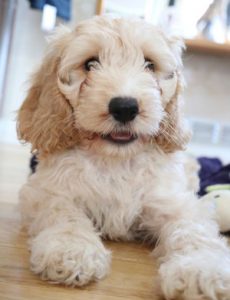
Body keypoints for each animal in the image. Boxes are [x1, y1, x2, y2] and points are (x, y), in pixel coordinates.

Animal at [17, 17, 230, 300]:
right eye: (90, 64)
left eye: (150, 64)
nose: (125, 107)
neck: (116, 159)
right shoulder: (47, 191)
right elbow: (63, 213)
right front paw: (71, 250)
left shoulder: (174, 201)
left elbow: (193, 229)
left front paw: (201, 269)